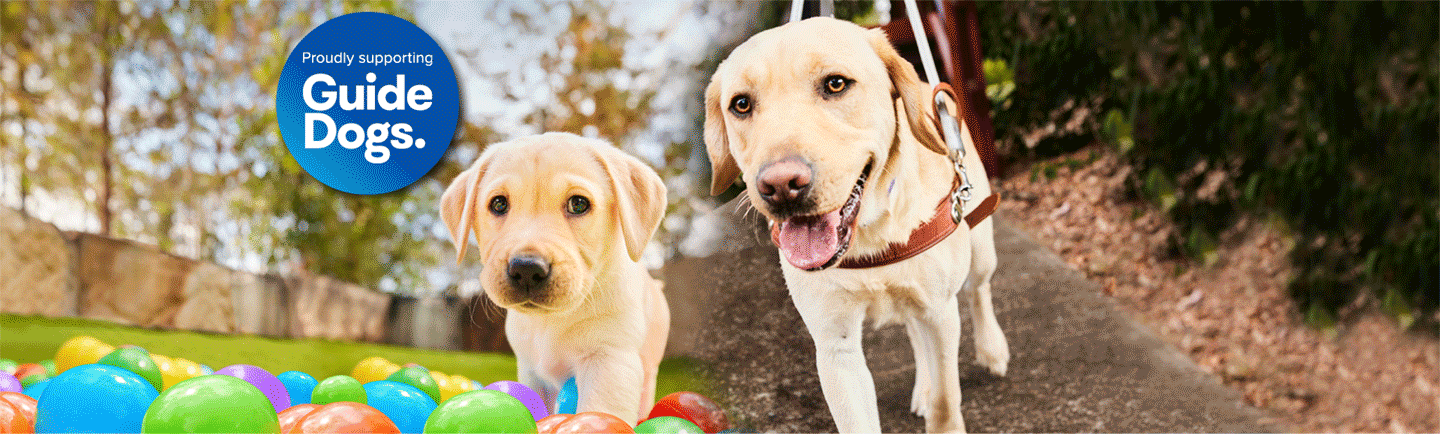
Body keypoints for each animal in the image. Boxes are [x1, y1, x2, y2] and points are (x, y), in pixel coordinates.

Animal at [437, 132, 668, 421]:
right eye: (499, 204)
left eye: (578, 204)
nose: (526, 269)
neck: (551, 320)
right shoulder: (531, 371)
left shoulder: (611, 361)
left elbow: (599, 412)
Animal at [702, 18, 1008, 429]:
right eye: (741, 104)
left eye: (835, 84)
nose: (781, 187)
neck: (871, 232)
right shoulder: (836, 345)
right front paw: (927, 391)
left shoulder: (940, 311)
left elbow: (947, 401)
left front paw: (943, 409)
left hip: (979, 248)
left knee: (979, 290)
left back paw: (992, 349)